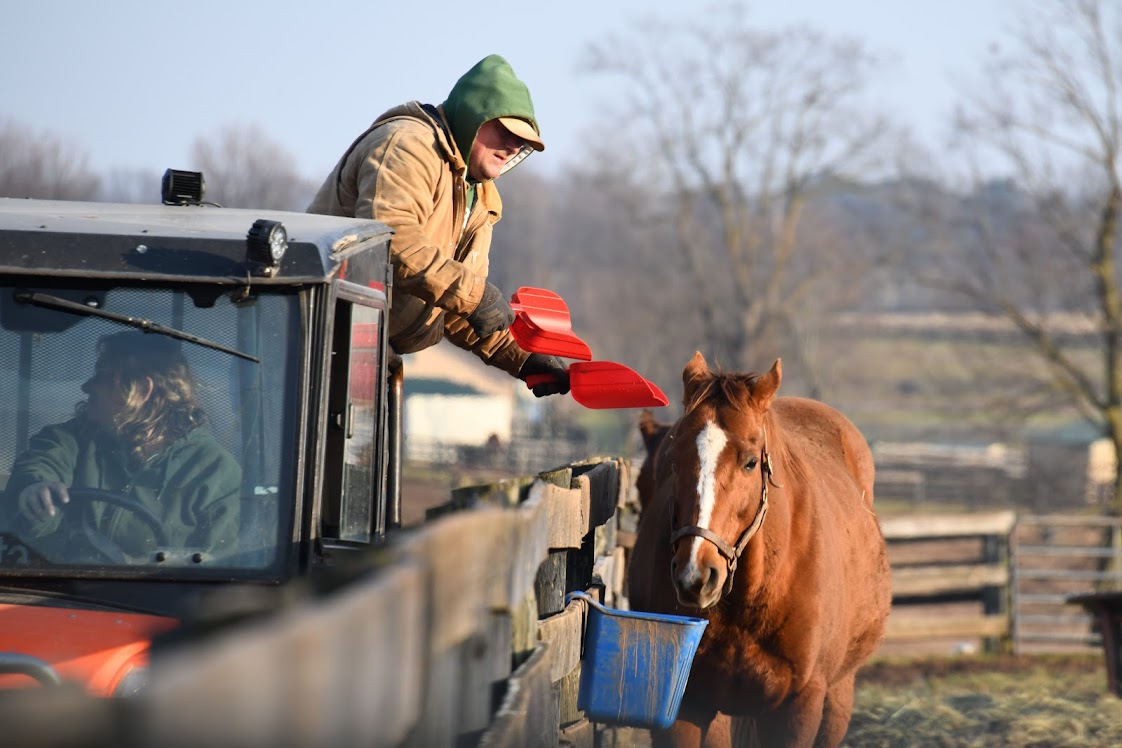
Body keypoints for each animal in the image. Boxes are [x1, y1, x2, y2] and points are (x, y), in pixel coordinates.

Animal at [632, 352, 884, 748]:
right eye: (672, 461)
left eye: (750, 462)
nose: (695, 574)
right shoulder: (686, 706)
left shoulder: (798, 707)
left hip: (837, 698)